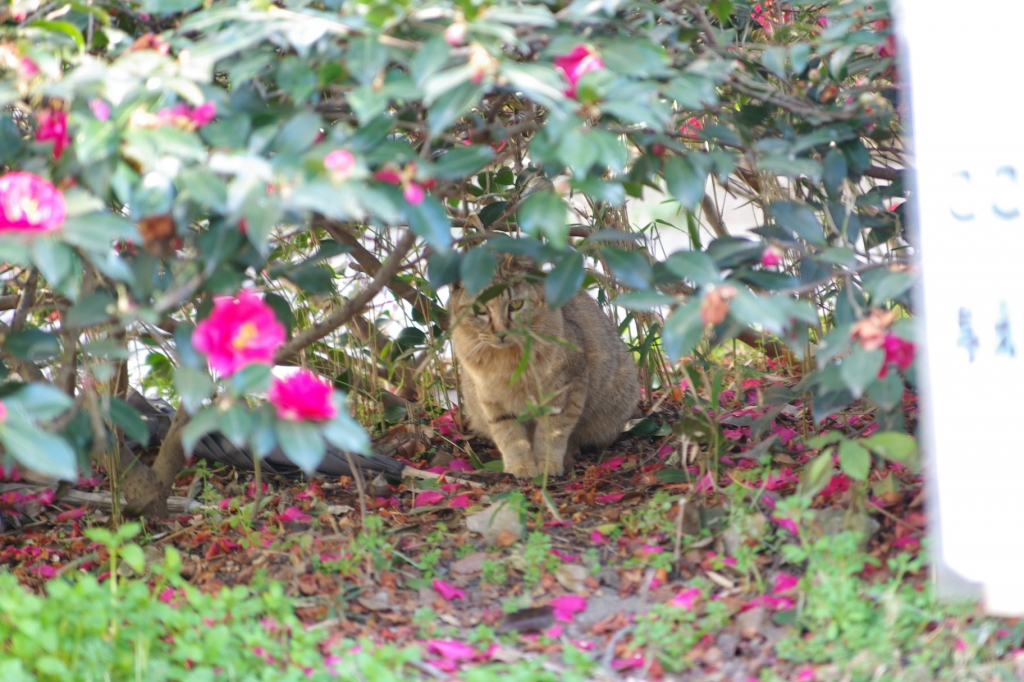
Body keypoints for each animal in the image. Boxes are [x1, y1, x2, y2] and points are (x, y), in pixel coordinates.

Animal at [450, 254, 638, 477]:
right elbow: (509, 435)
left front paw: (547, 464)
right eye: (480, 310)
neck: (507, 362)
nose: (502, 332)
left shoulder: (566, 391)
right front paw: (520, 465)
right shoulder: (492, 400)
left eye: (516, 304)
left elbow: (552, 433)